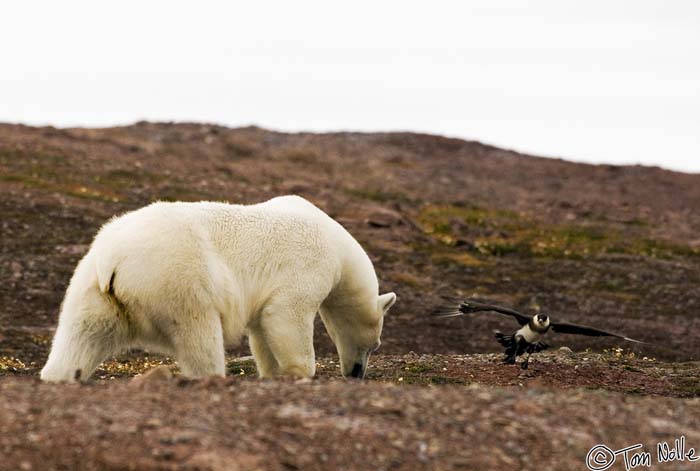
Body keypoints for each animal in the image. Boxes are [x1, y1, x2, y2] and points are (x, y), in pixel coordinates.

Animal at [41, 195, 396, 384]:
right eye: (376, 343)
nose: (356, 373)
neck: (340, 250)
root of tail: (112, 258)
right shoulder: (309, 264)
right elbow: (285, 315)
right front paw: (299, 373)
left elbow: (262, 330)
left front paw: (272, 373)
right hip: (176, 276)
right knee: (199, 334)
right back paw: (211, 375)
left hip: (92, 289)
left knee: (82, 336)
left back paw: (58, 376)